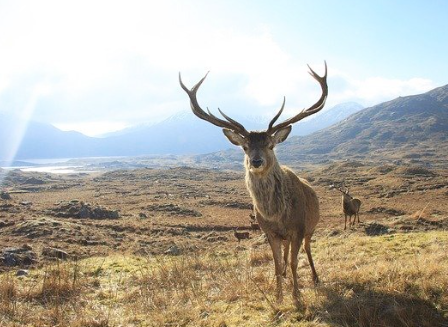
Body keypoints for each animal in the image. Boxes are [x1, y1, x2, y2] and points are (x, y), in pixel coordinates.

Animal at [179, 62, 328, 304]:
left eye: (270, 144)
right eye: (245, 147)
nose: (256, 161)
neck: (276, 215)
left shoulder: (298, 227)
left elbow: (295, 262)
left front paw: (296, 296)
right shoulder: (269, 232)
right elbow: (276, 264)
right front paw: (278, 296)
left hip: (311, 227)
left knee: (307, 250)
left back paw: (315, 278)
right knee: (286, 254)